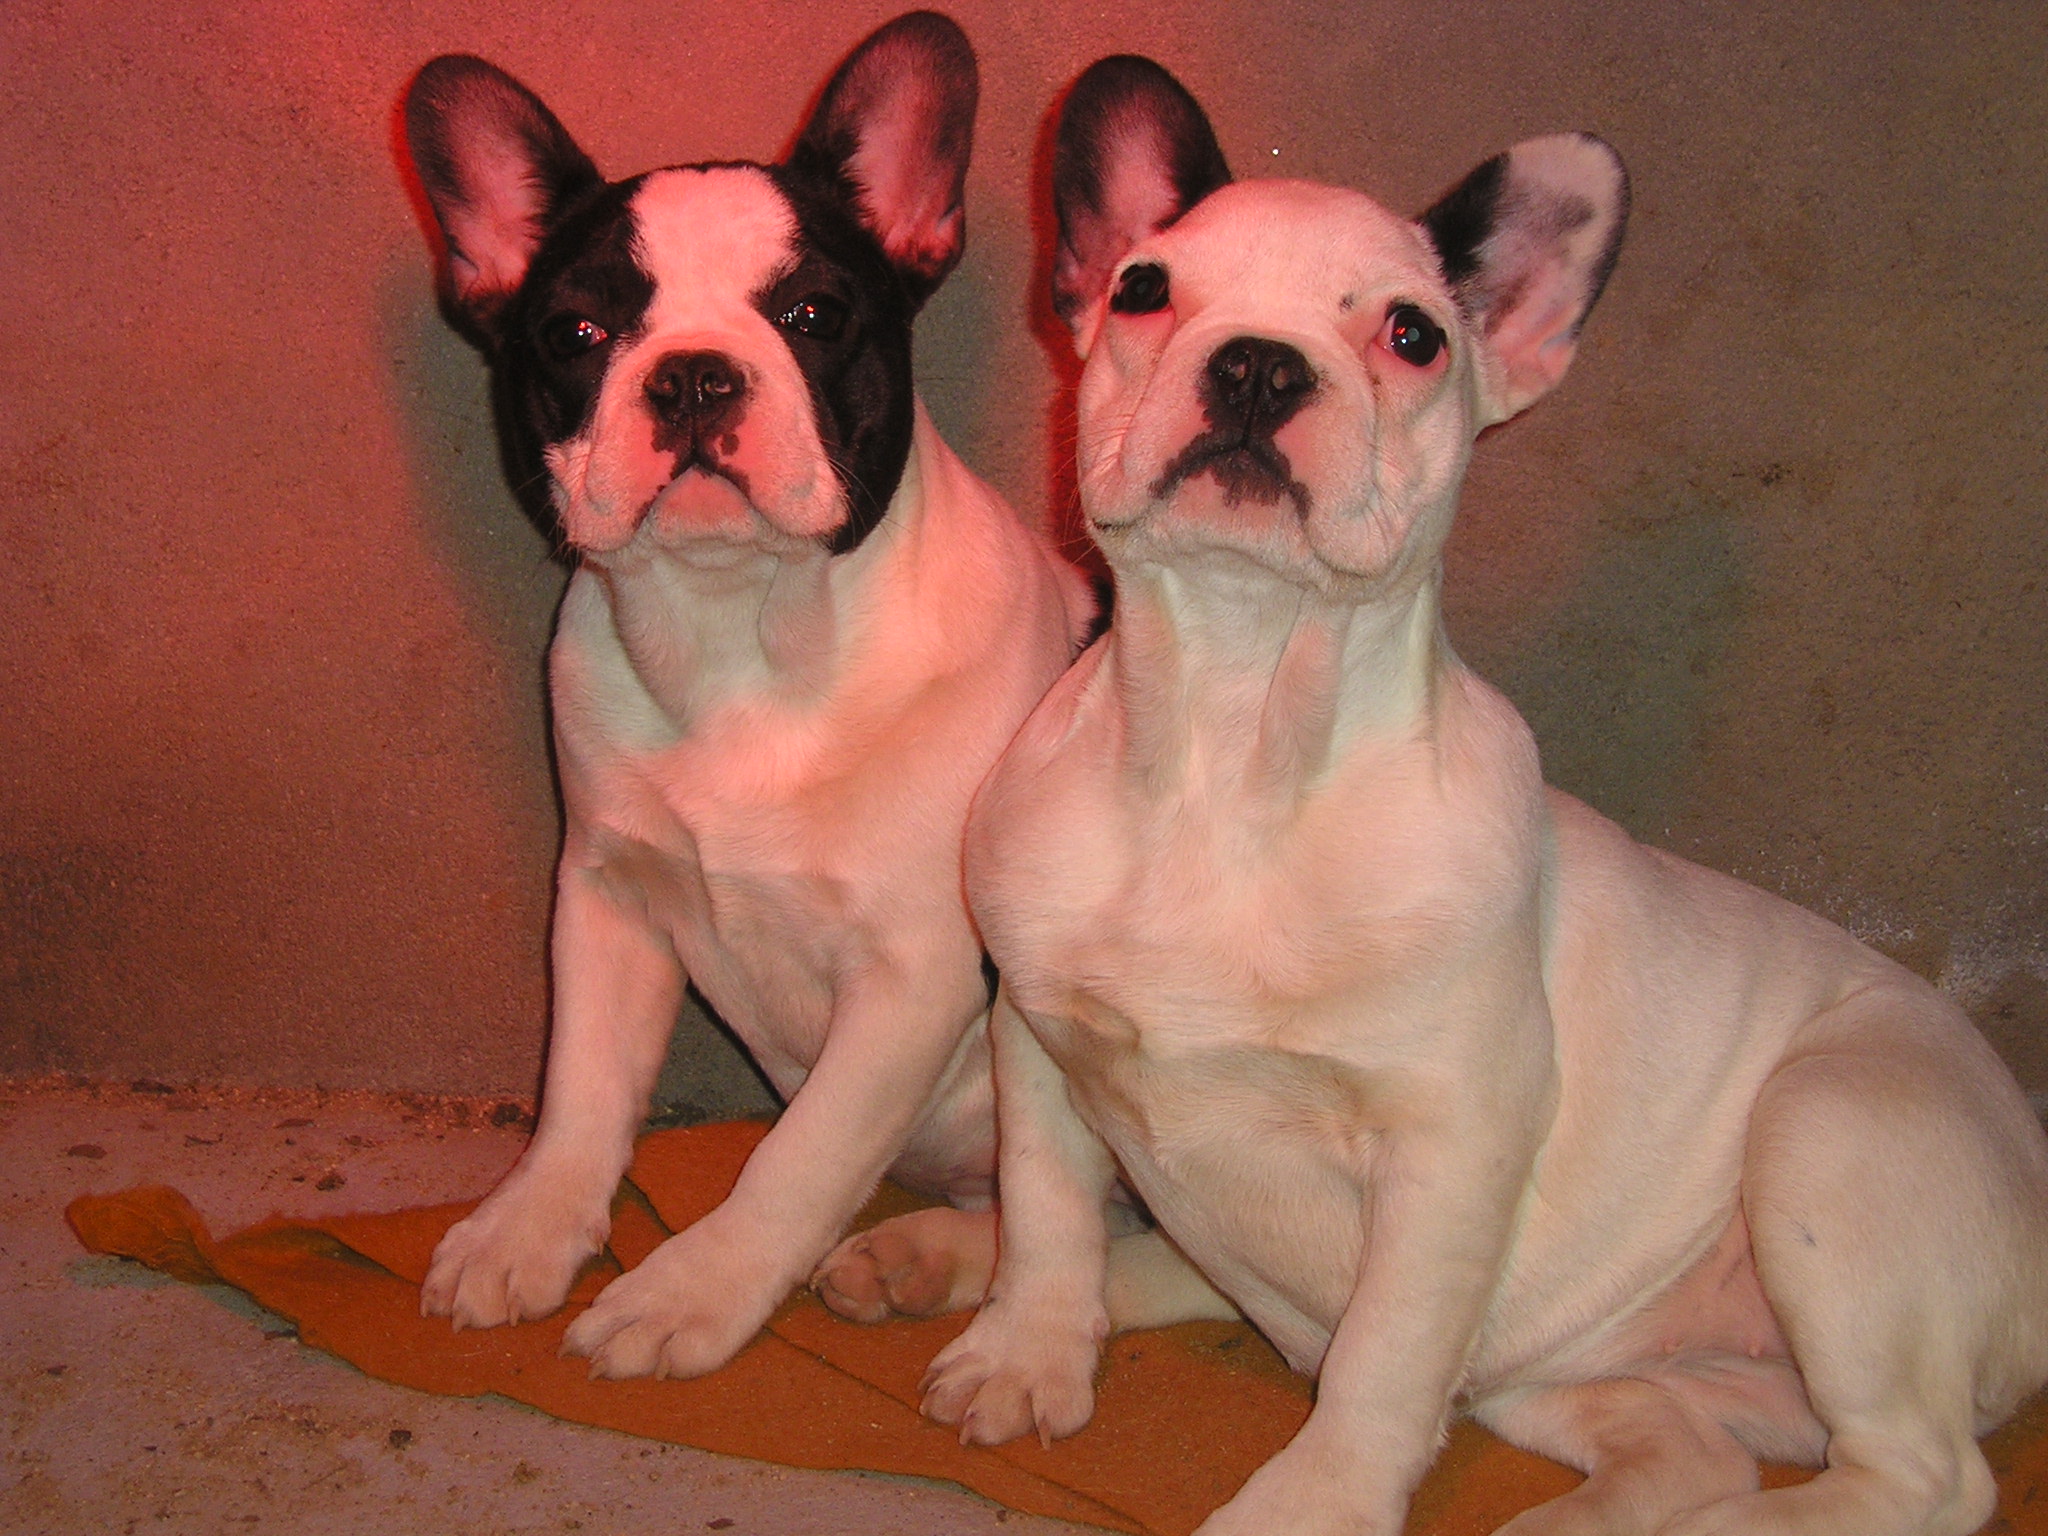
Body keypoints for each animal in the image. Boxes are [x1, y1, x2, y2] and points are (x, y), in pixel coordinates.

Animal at [402, 12, 1091, 1381]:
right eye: (575, 335)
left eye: (813, 312)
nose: (693, 375)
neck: (740, 632)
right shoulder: (605, 898)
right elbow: (581, 1089)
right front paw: (530, 1227)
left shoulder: (913, 974)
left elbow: (800, 1157)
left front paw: (692, 1289)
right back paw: (924, 1254)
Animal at [917, 55, 2048, 1536]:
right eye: (1145, 289)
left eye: (1413, 336)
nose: (1259, 359)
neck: (1229, 734)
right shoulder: (1041, 1040)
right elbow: (1050, 1207)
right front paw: (1027, 1346)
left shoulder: (1451, 1146)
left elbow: (1387, 1356)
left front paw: (1316, 1500)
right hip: (1574, 1378)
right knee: (1681, 1441)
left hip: (1833, 1133)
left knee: (1920, 1474)